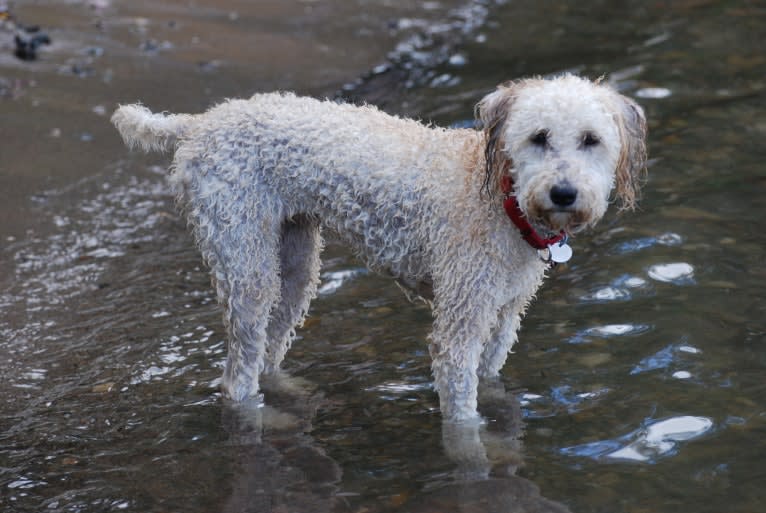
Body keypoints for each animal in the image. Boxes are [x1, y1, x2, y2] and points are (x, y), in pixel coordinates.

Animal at [111, 74, 644, 422]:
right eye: (538, 137)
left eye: (591, 140)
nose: (563, 194)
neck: (501, 199)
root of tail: (200, 122)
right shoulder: (460, 321)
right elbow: (463, 415)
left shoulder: (504, 315)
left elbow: (491, 378)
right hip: (244, 257)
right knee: (238, 374)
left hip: (295, 263)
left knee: (269, 348)